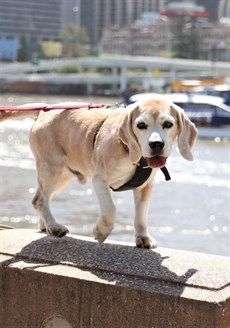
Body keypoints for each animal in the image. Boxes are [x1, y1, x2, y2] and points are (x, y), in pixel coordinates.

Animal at [0, 97, 198, 249]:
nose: (156, 144)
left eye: (168, 124)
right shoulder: (99, 180)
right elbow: (110, 210)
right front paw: (100, 232)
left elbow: (141, 216)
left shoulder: (144, 187)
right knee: (39, 200)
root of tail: (45, 110)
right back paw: (54, 227)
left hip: (62, 175)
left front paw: (143, 238)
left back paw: (46, 225)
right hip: (51, 168)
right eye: (141, 125)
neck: (132, 153)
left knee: (42, 198)